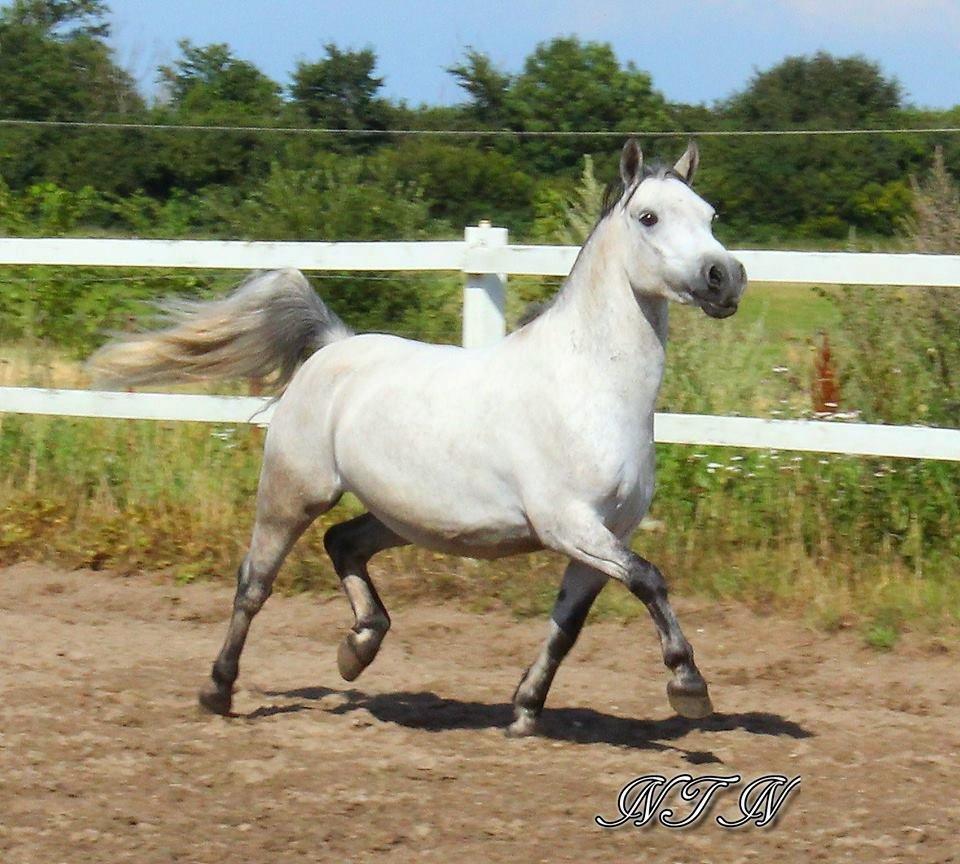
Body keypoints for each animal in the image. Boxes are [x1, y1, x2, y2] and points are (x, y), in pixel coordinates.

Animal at [88, 139, 746, 737]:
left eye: (709, 214)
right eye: (649, 217)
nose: (726, 277)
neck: (588, 387)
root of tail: (331, 346)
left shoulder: (606, 536)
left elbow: (568, 626)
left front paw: (525, 711)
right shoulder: (570, 525)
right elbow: (649, 579)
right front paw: (689, 686)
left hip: (402, 516)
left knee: (342, 544)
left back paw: (358, 648)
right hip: (292, 491)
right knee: (255, 583)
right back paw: (219, 690)